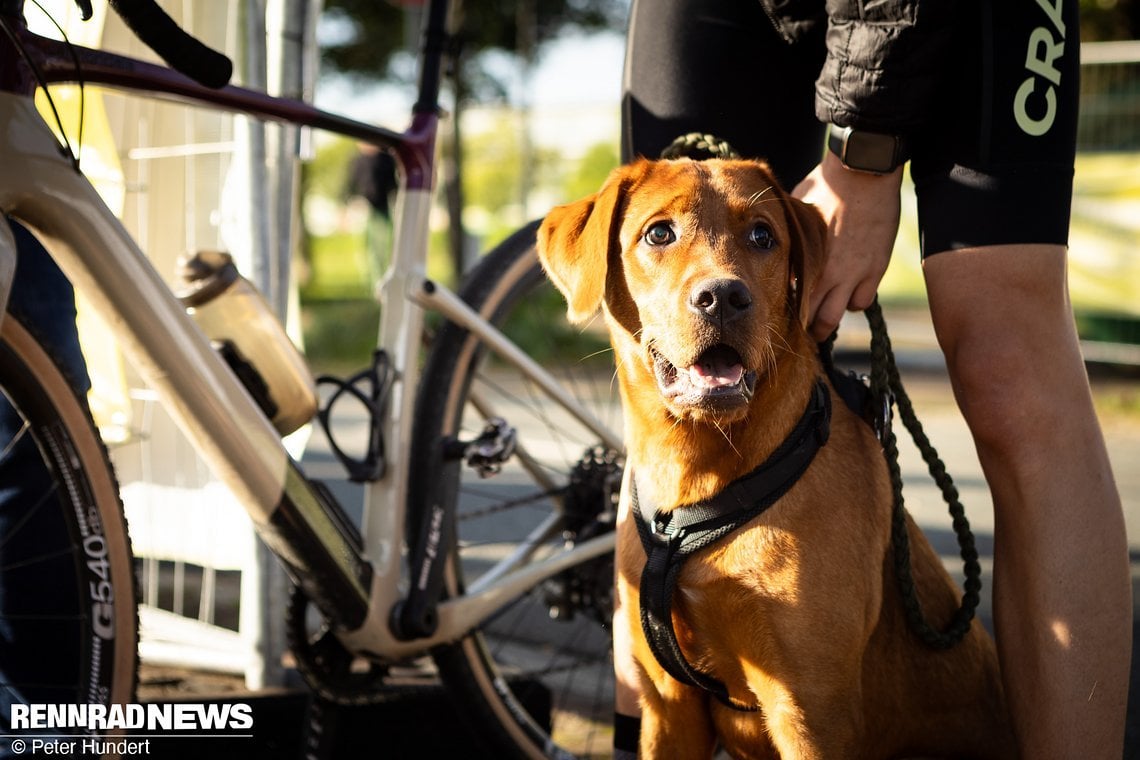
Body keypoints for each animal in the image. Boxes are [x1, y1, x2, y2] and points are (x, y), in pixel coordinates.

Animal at [538, 157, 1021, 756]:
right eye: (659, 233)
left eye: (763, 236)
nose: (724, 297)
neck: (697, 473)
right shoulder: (667, 705)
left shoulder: (811, 711)